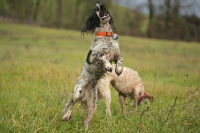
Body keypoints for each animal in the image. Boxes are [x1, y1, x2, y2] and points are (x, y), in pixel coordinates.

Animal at [61, 0, 122, 129]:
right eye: (95, 10)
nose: (99, 1)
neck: (106, 34)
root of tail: (84, 95)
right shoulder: (94, 56)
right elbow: (103, 56)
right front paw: (108, 66)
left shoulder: (115, 55)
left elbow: (120, 59)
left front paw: (119, 69)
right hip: (77, 92)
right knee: (71, 102)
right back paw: (66, 116)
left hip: (93, 105)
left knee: (86, 120)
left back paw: (85, 129)